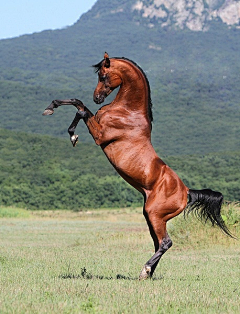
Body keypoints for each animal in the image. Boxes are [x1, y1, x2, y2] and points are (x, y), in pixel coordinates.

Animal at [42, 52, 232, 280]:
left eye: (103, 76)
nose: (97, 98)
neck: (128, 111)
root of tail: (186, 192)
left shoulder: (99, 135)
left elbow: (80, 109)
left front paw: (72, 135)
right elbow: (77, 104)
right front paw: (51, 108)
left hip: (154, 214)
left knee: (166, 242)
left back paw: (144, 270)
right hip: (152, 217)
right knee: (159, 243)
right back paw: (148, 273)